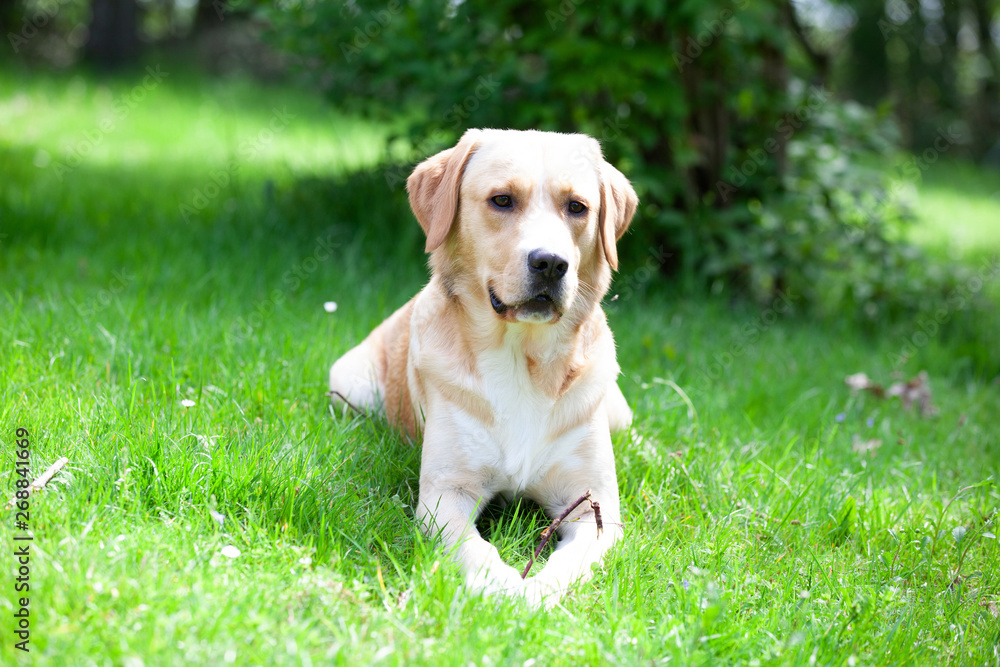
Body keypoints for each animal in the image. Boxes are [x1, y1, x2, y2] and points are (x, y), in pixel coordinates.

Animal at [332, 126, 636, 604]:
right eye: (502, 200)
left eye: (577, 207)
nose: (551, 263)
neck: (521, 357)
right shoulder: (445, 495)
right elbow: (473, 547)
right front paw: (501, 585)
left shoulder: (594, 508)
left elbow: (568, 562)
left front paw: (540, 593)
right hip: (349, 387)